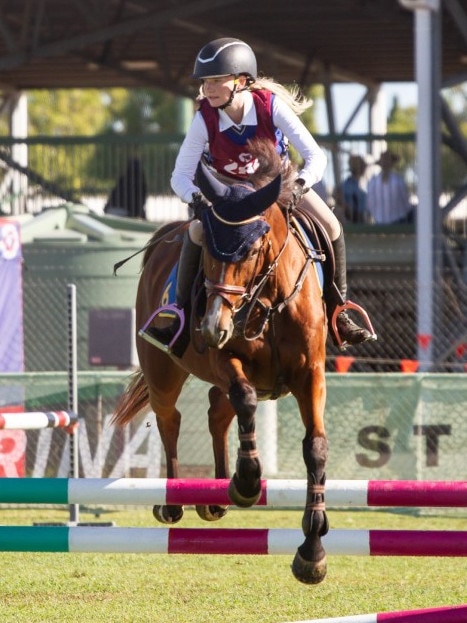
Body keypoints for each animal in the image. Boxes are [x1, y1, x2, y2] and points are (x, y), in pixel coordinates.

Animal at [113, 141, 330, 584]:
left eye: (253, 249)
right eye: (209, 252)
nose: (214, 326)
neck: (270, 300)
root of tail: (162, 238)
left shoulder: (311, 375)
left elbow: (315, 446)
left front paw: (312, 550)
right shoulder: (227, 360)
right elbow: (243, 397)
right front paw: (246, 482)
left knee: (217, 412)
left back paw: (214, 498)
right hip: (163, 370)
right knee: (171, 418)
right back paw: (174, 501)